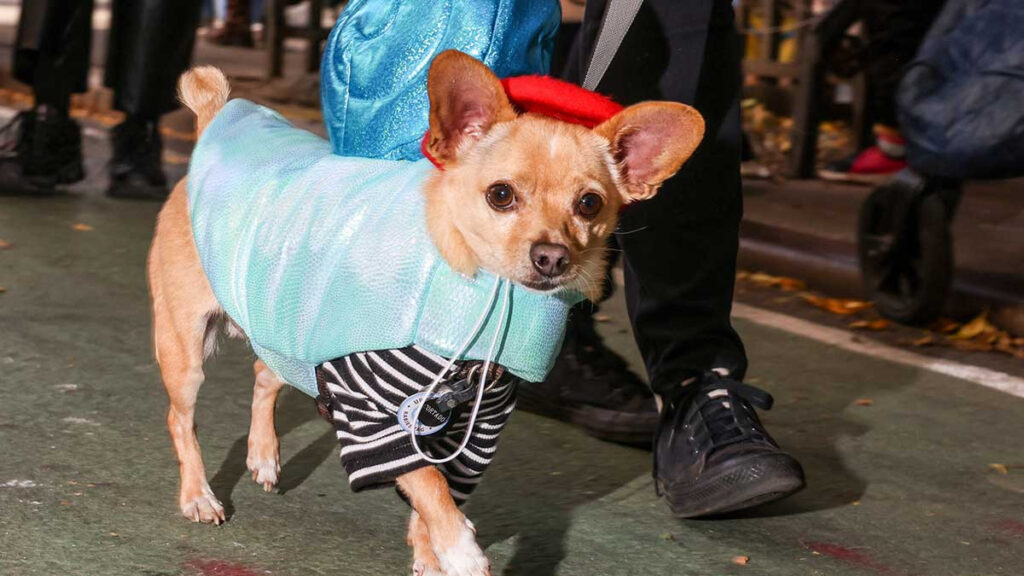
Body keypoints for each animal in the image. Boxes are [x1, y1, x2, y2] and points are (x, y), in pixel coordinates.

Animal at [149, 50, 704, 573]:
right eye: (501, 195)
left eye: (589, 204)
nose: (552, 256)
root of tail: (214, 121)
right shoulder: (372, 413)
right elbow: (425, 480)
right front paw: (459, 550)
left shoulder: (477, 428)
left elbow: (437, 489)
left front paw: (430, 551)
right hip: (185, 349)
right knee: (180, 419)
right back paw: (198, 495)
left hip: (284, 324)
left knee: (265, 373)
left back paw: (263, 455)